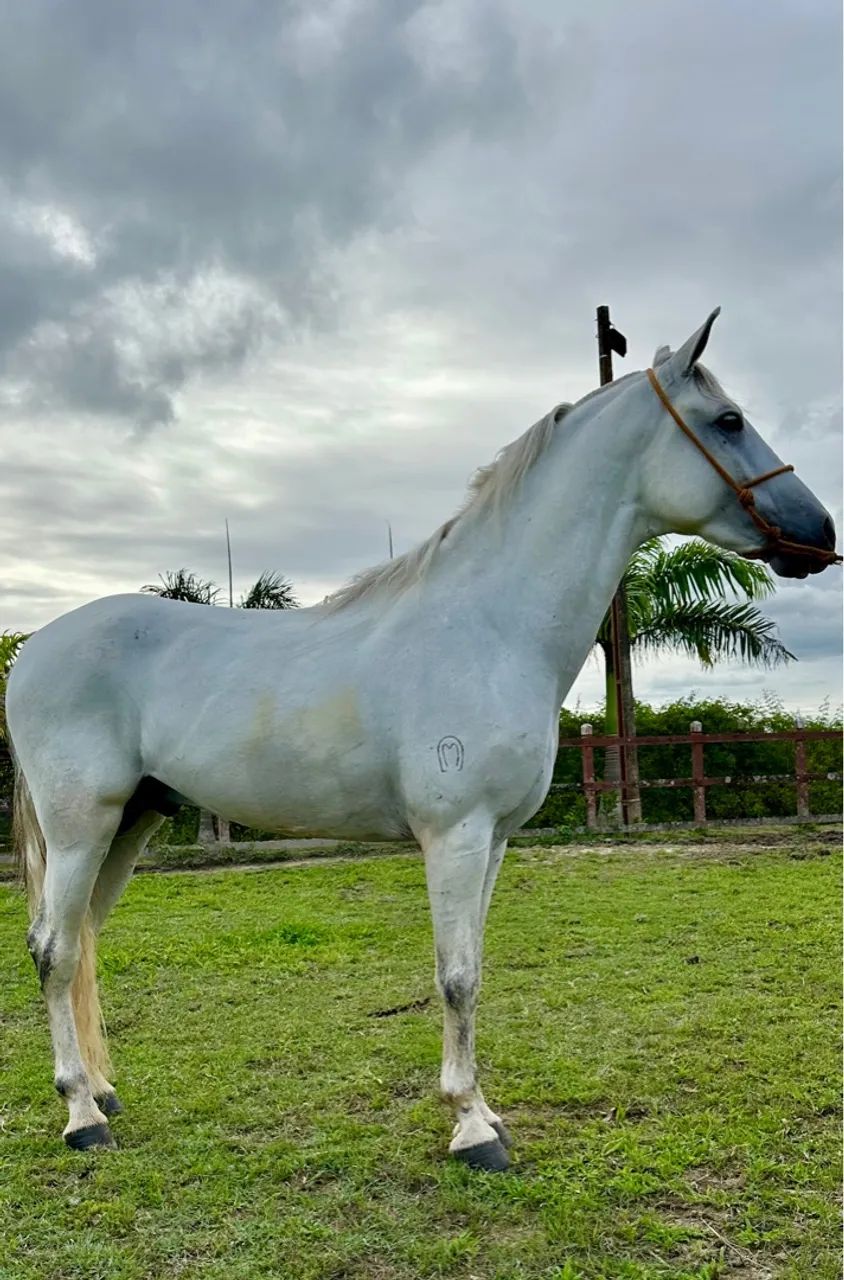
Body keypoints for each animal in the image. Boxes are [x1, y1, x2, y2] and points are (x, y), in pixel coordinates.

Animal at [7, 309, 839, 1170]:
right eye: (729, 420)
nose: (819, 532)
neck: (490, 627)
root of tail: (34, 650)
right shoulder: (457, 833)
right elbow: (456, 975)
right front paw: (471, 1126)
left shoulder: (495, 838)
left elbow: (474, 967)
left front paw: (486, 1115)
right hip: (81, 828)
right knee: (54, 950)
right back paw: (82, 1115)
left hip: (131, 822)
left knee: (82, 943)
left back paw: (103, 1091)